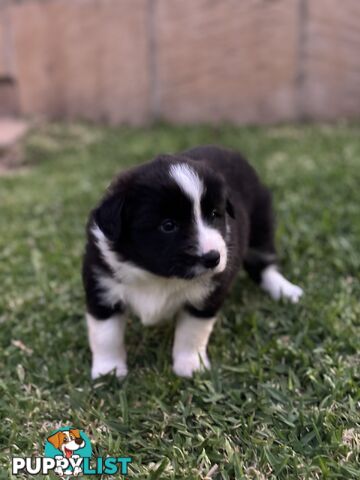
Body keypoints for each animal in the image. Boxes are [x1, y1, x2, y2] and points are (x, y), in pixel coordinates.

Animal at [83, 144, 302, 376]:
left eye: (214, 214)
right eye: (168, 225)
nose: (213, 258)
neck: (156, 274)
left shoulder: (206, 294)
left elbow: (192, 333)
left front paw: (190, 367)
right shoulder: (101, 286)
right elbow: (105, 335)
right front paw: (109, 372)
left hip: (261, 221)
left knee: (263, 262)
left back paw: (285, 290)